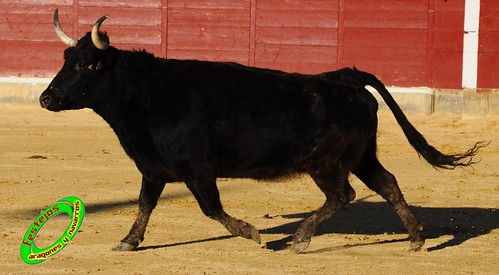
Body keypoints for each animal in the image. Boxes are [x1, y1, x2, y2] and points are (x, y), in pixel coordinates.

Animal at [40, 10, 488, 252]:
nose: (45, 99)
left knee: (342, 195)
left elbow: (211, 208)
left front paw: (253, 233)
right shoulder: (154, 169)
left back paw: (301, 238)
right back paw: (415, 238)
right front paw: (129, 241)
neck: (150, 95)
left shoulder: (198, 171)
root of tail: (343, 76)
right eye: (64, 58)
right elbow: (144, 206)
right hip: (361, 155)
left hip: (325, 163)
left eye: (86, 65)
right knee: (388, 184)